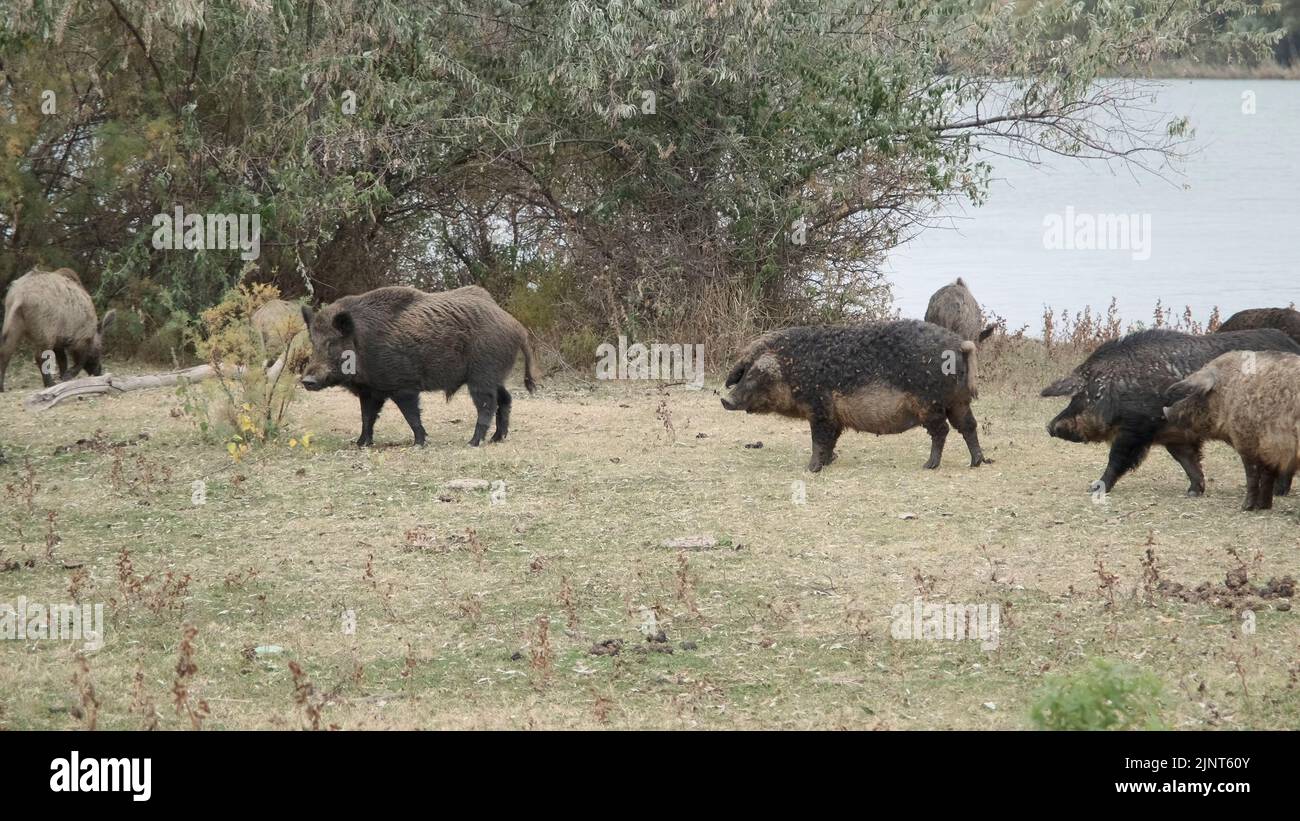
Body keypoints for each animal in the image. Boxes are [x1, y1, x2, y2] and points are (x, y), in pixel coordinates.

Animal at [722, 320, 982, 475]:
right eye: (743, 373)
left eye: (756, 375)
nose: (726, 400)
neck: (793, 370)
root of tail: (960, 345)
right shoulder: (834, 417)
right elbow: (831, 440)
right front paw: (829, 461)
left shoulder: (820, 409)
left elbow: (818, 440)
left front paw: (811, 469)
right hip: (958, 402)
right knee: (969, 425)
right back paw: (976, 462)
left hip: (930, 404)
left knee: (942, 430)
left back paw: (929, 465)